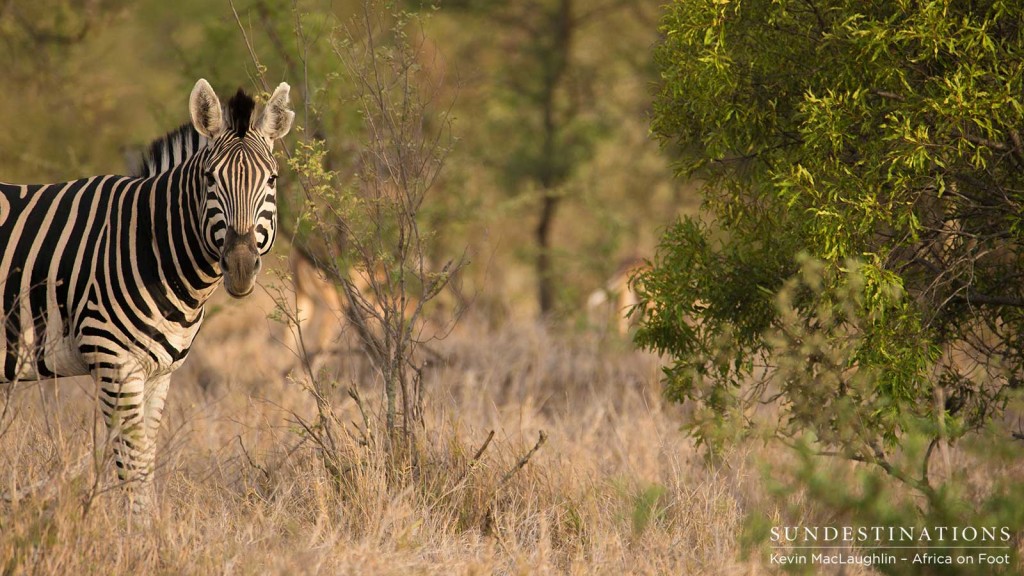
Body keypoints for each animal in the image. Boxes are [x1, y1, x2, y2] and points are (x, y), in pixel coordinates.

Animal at [1, 77, 296, 510]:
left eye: (271, 181)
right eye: (210, 179)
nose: (241, 266)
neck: (151, 244)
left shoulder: (159, 372)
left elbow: (147, 461)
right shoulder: (113, 360)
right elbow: (134, 467)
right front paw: (137, 529)